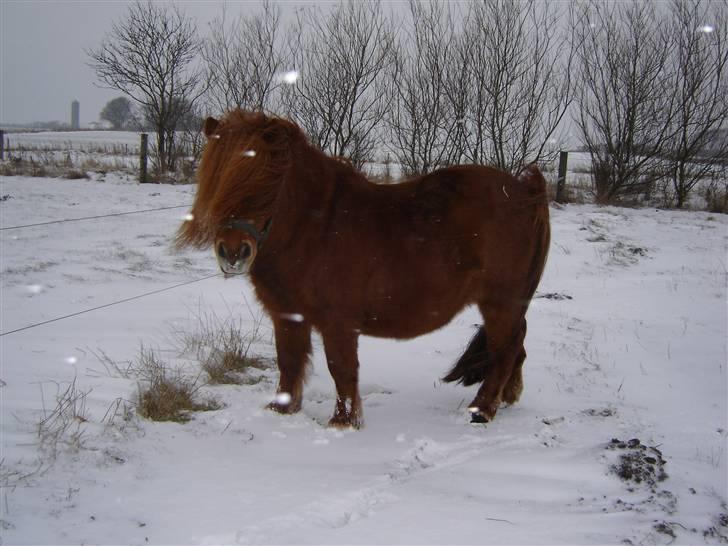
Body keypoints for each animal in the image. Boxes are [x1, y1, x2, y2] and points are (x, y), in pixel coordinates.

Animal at [178, 109, 552, 424]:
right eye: (216, 176)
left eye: (269, 179)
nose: (233, 252)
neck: (315, 226)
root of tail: (524, 190)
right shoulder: (287, 315)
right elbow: (288, 361)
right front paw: (282, 410)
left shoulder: (338, 322)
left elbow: (341, 369)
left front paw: (343, 422)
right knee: (516, 343)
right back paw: (506, 397)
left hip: (500, 301)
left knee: (506, 349)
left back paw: (483, 409)